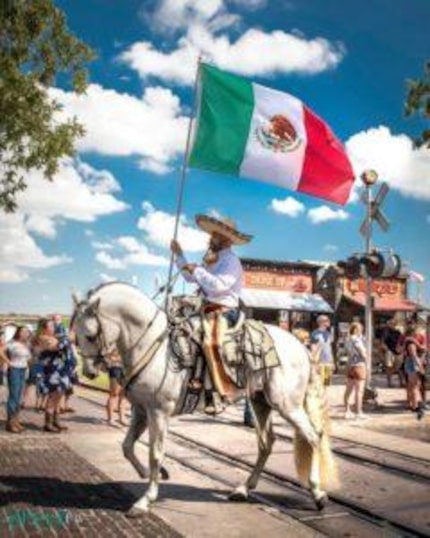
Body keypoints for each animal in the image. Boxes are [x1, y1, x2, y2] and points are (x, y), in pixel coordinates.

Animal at [72, 280, 338, 516]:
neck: (152, 345)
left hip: (287, 405)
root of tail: (301, 346)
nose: (89, 372)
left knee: (313, 437)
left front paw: (145, 500)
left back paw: (318, 494)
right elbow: (127, 447)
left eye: (91, 335)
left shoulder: (158, 412)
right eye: (76, 335)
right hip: (261, 402)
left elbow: (155, 453)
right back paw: (243, 489)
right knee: (266, 443)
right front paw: (149, 474)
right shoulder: (140, 410)